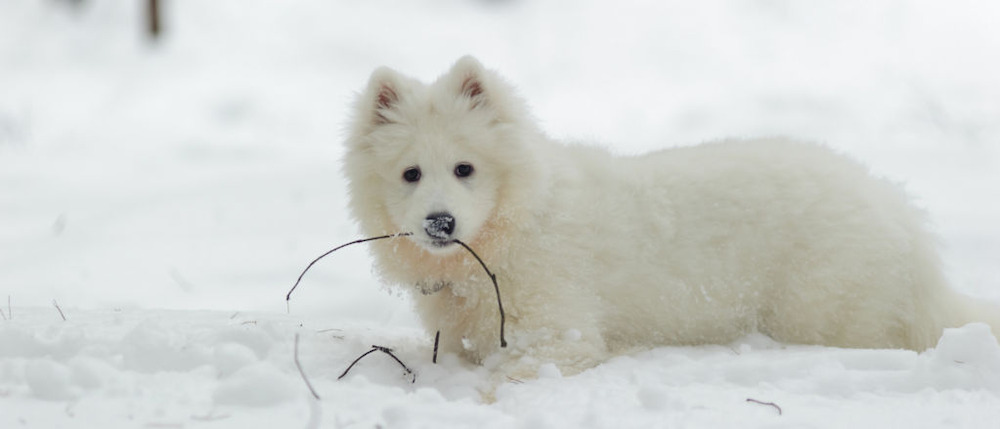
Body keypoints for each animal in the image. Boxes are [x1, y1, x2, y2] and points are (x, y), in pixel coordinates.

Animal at [342, 56, 992, 378]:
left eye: (465, 168)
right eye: (410, 174)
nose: (440, 224)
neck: (521, 222)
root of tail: (906, 224)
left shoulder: (557, 337)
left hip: (823, 310)